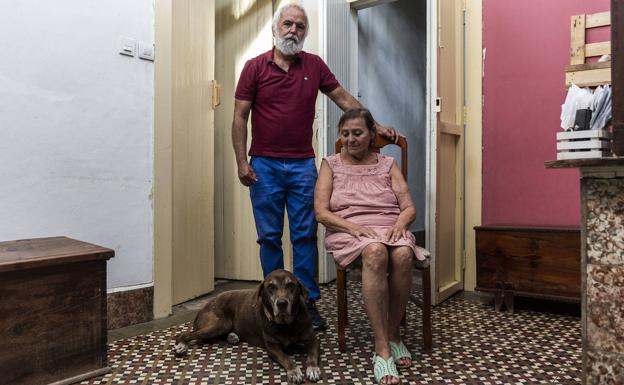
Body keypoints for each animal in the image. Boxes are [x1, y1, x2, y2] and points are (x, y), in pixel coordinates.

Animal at [176, 268, 322, 382]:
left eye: (290, 285)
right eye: (271, 286)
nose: (282, 303)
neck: (286, 324)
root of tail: (203, 307)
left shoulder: (313, 340)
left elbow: (312, 355)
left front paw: (313, 368)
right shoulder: (272, 347)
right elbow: (286, 358)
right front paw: (294, 371)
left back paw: (232, 337)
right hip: (220, 324)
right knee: (184, 334)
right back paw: (181, 346)